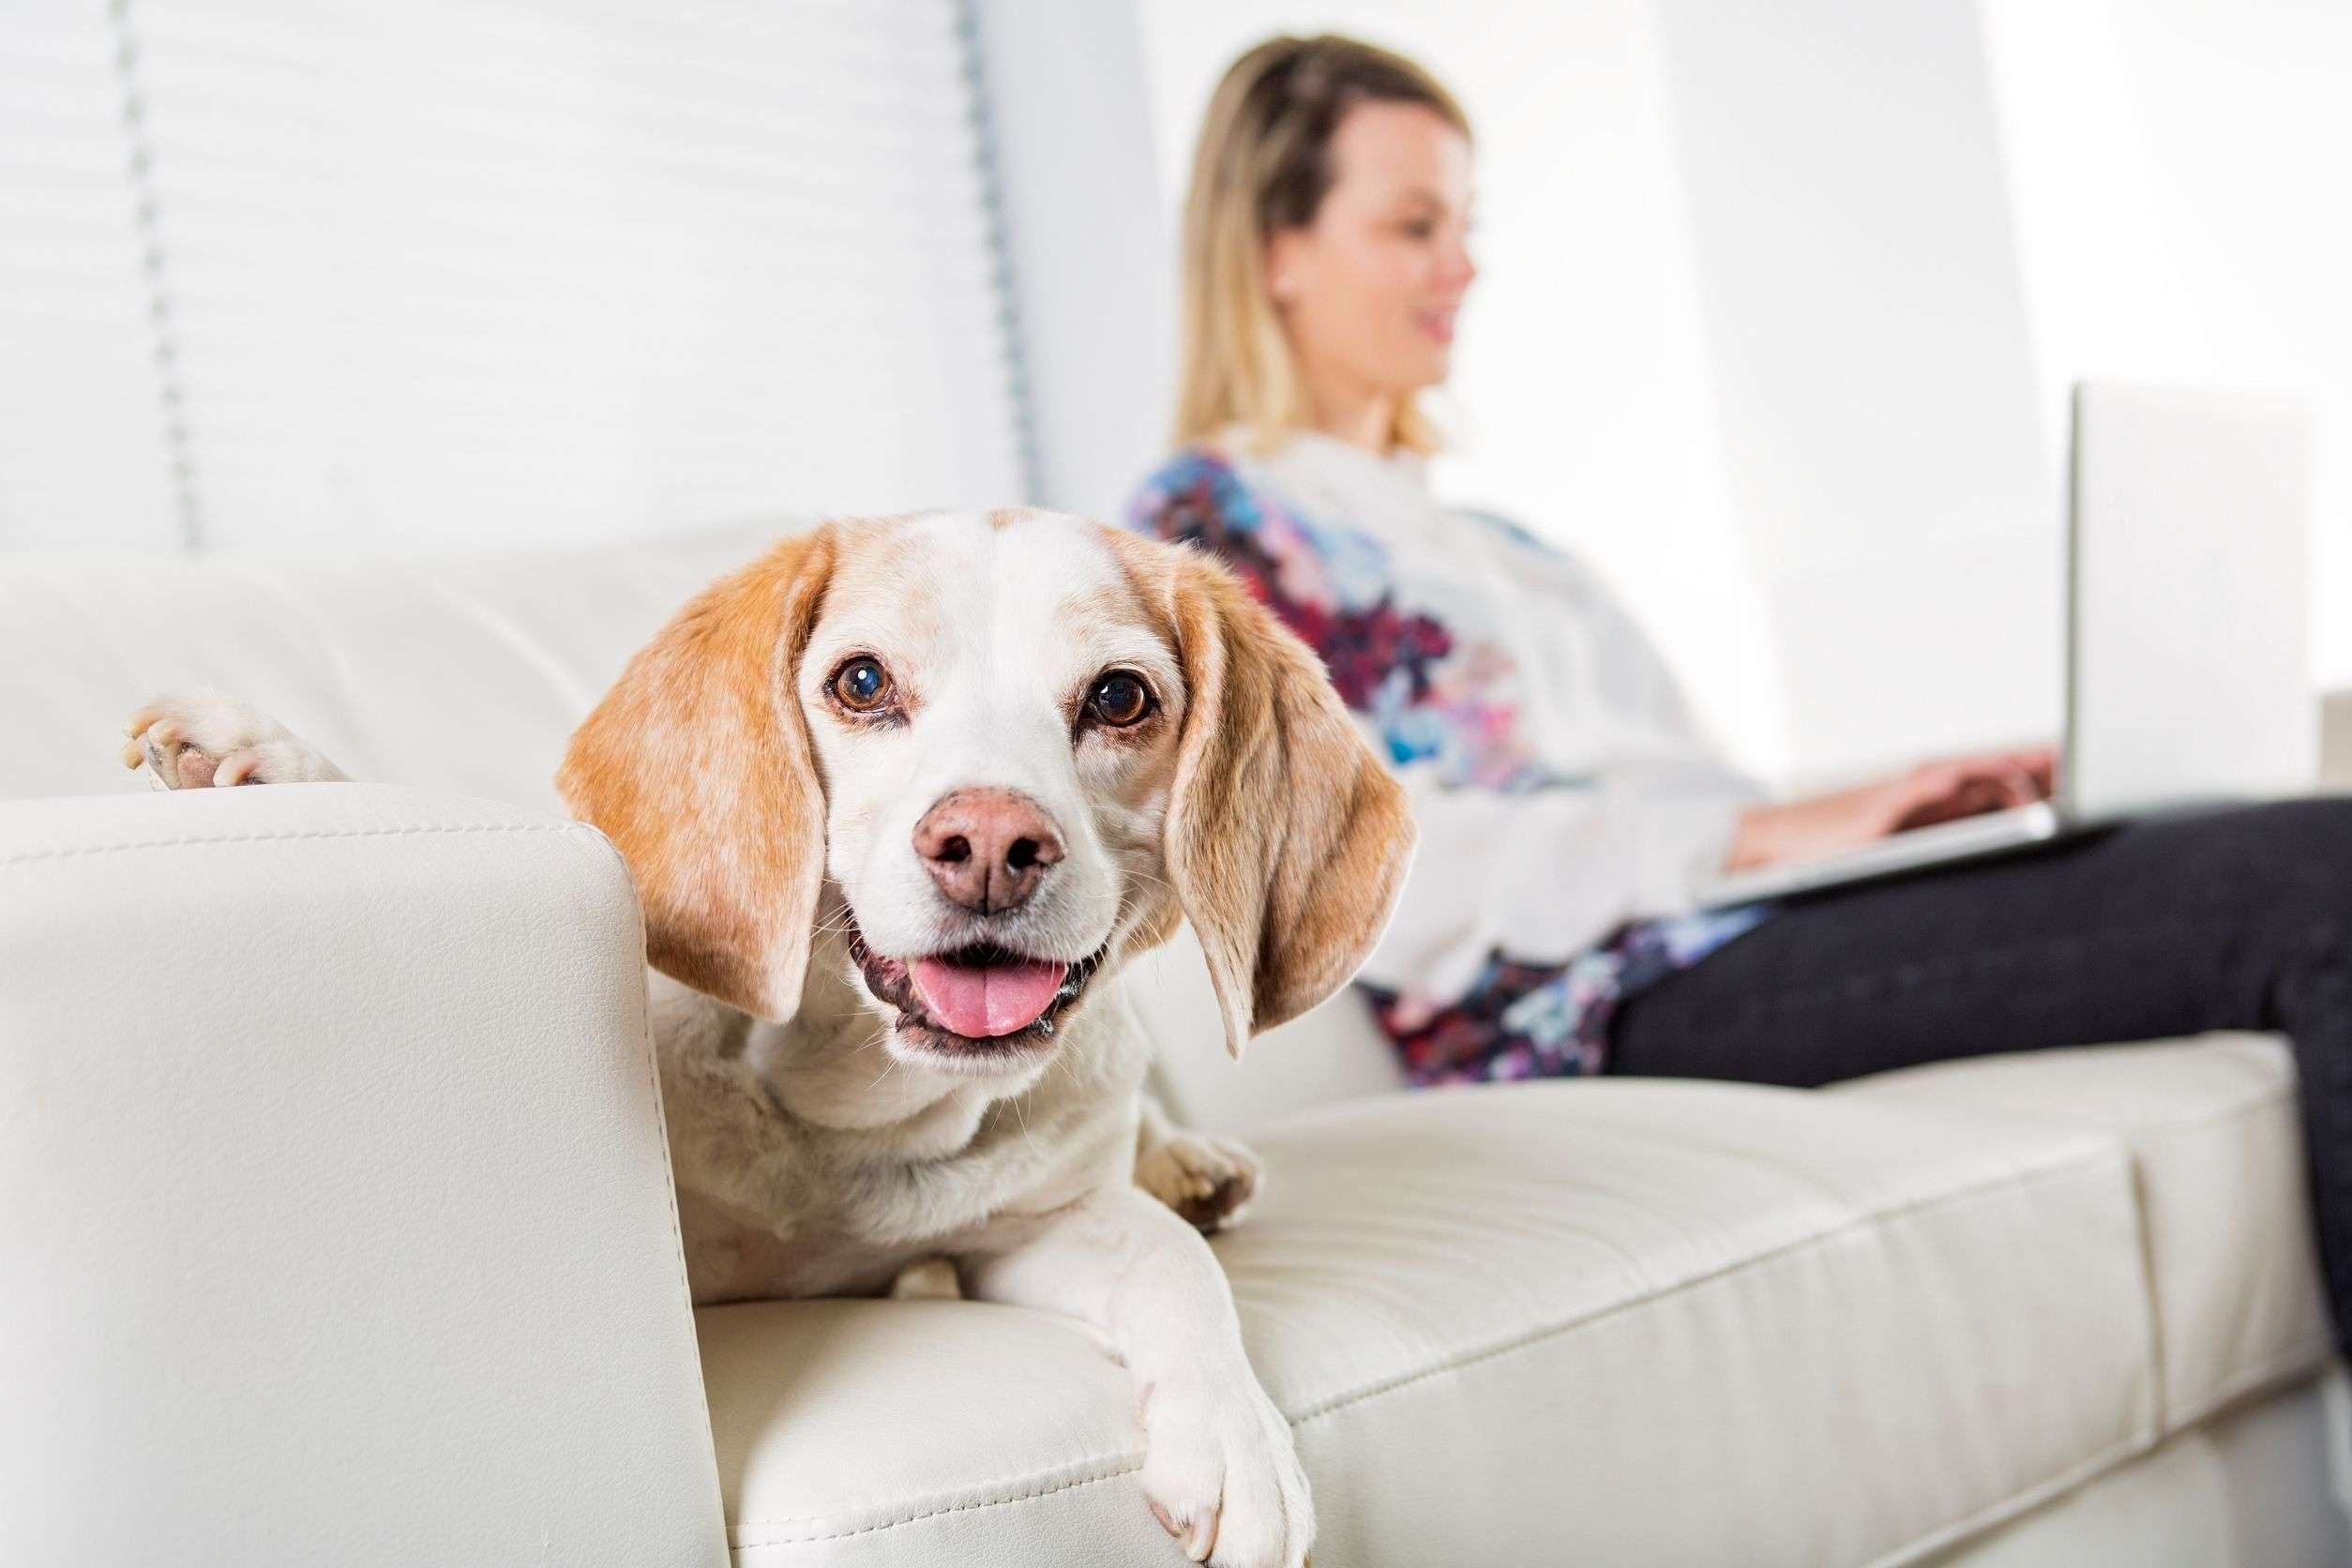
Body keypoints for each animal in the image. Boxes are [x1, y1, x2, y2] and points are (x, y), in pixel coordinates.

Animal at [119, 509, 1410, 1560]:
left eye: (1119, 697)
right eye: (862, 681)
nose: (990, 845)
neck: (854, 1113)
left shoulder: (1038, 1225)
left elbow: (1175, 1266)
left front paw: (1238, 1437)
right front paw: (269, 762)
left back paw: (1189, 1164)